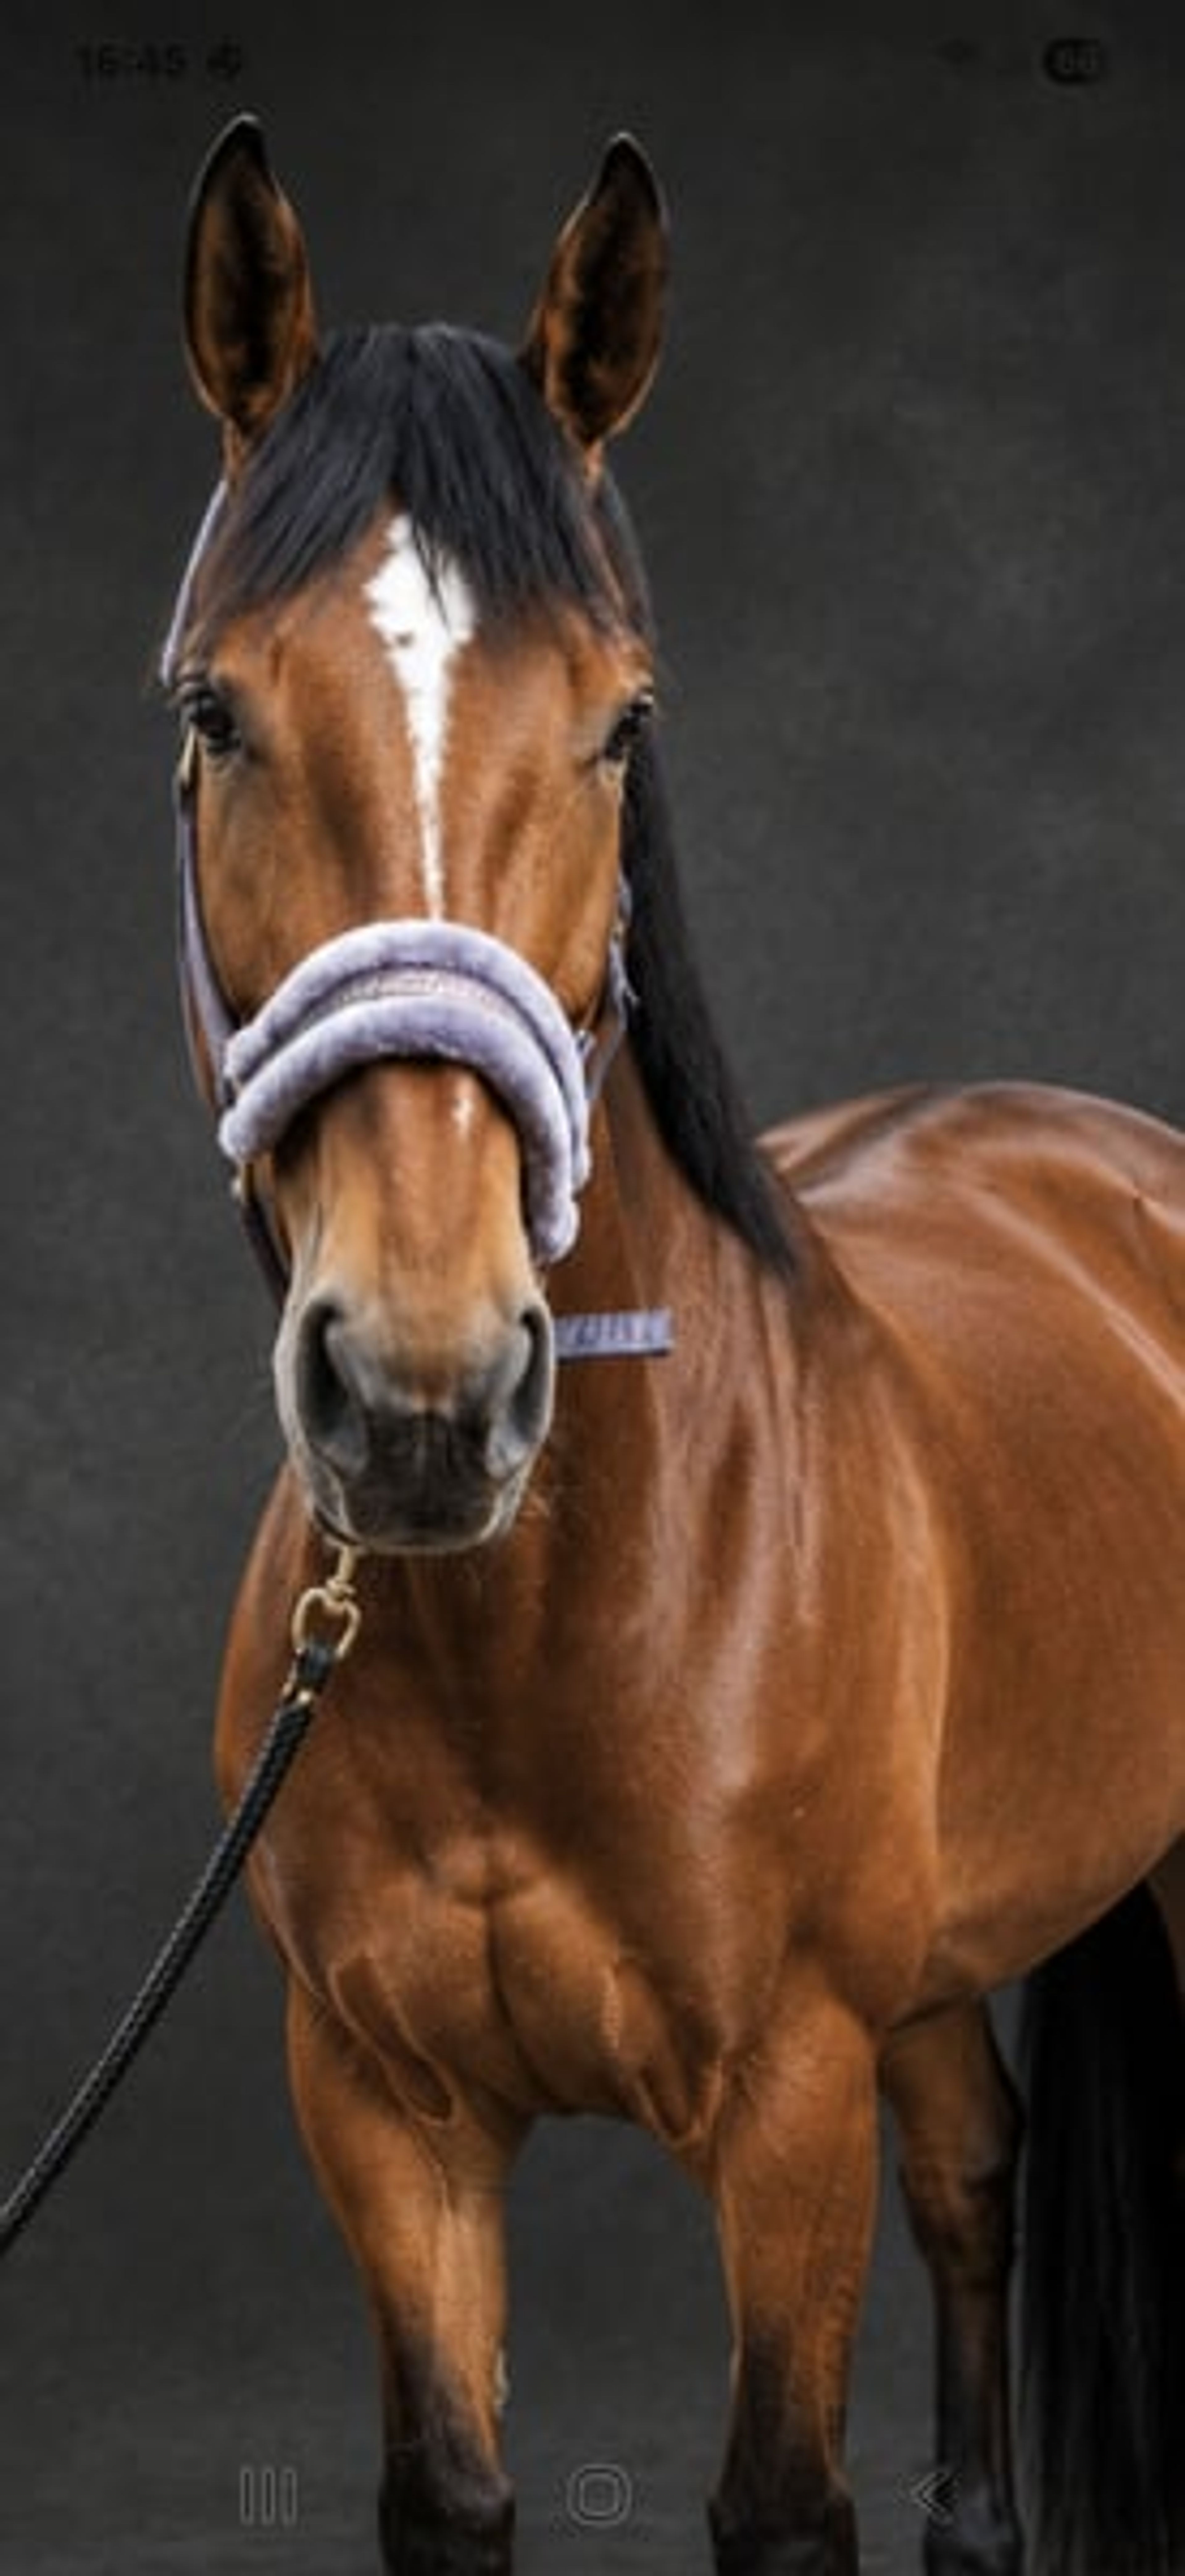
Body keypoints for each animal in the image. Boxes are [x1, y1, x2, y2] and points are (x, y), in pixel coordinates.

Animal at [163, 115, 1185, 2575]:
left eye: (622, 719)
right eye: (212, 710)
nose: (425, 1397)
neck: (547, 1616)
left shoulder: (782, 2101)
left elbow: (777, 2503)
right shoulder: (383, 2112)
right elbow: (448, 2488)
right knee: (977, 2174)